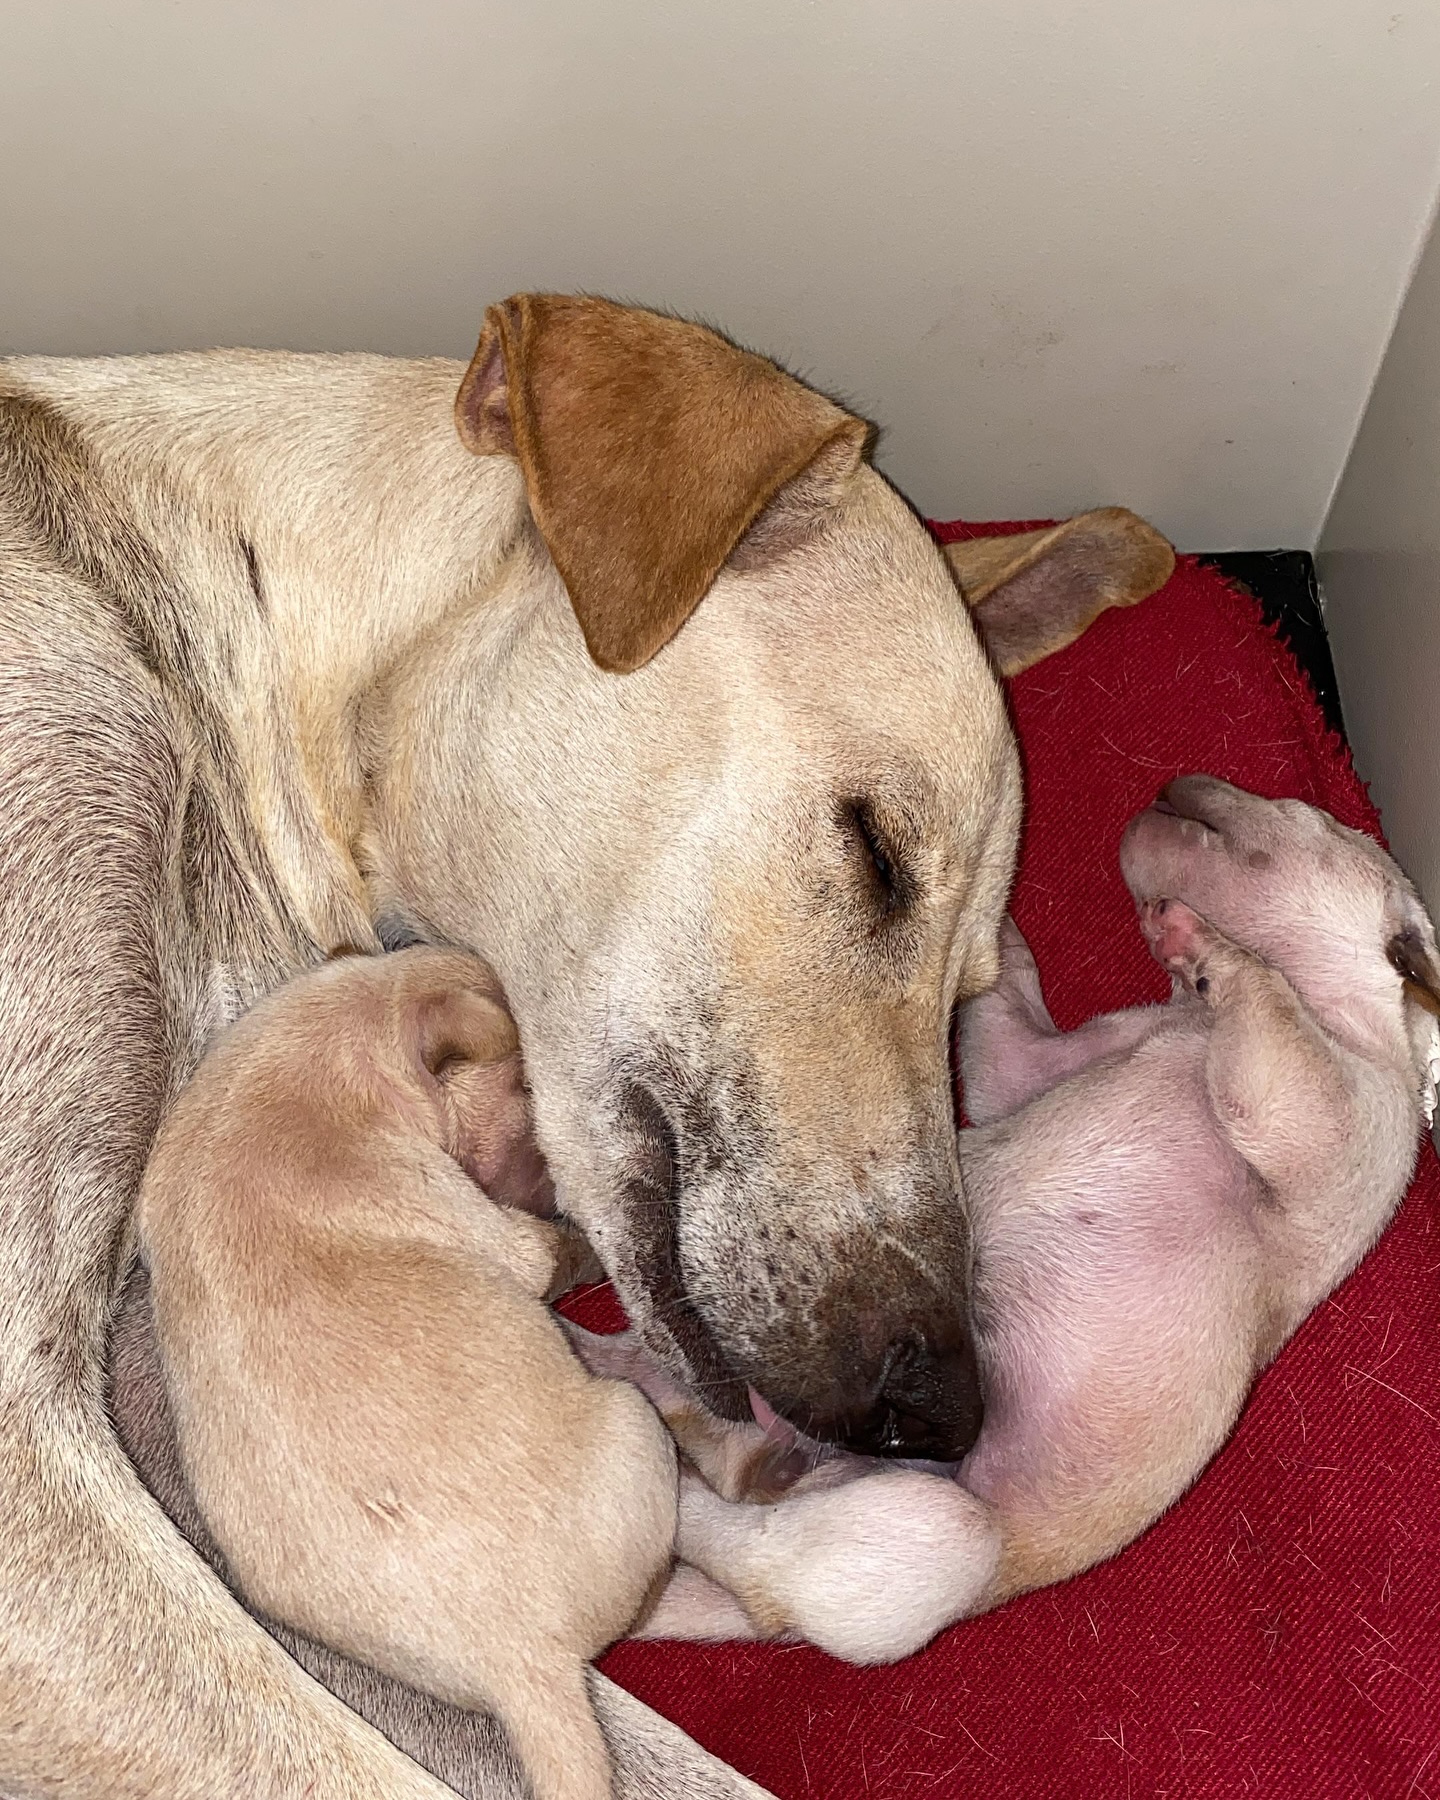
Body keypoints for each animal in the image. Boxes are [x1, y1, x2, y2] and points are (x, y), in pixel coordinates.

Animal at [137, 943, 673, 1800]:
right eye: (528, 1089)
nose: (563, 1183)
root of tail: (521, 1667)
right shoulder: (497, 1230)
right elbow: (550, 1252)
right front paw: (583, 1238)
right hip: (633, 1425)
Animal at [612, 774, 1440, 1656]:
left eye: (1307, 814)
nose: (1180, 780)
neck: (1190, 1023)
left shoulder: (1328, 1120)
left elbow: (1270, 1009)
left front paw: (1197, 937)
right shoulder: (1046, 1063)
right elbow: (1010, 1031)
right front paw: (999, 924)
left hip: (930, 1533)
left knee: (741, 1538)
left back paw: (647, 1438)